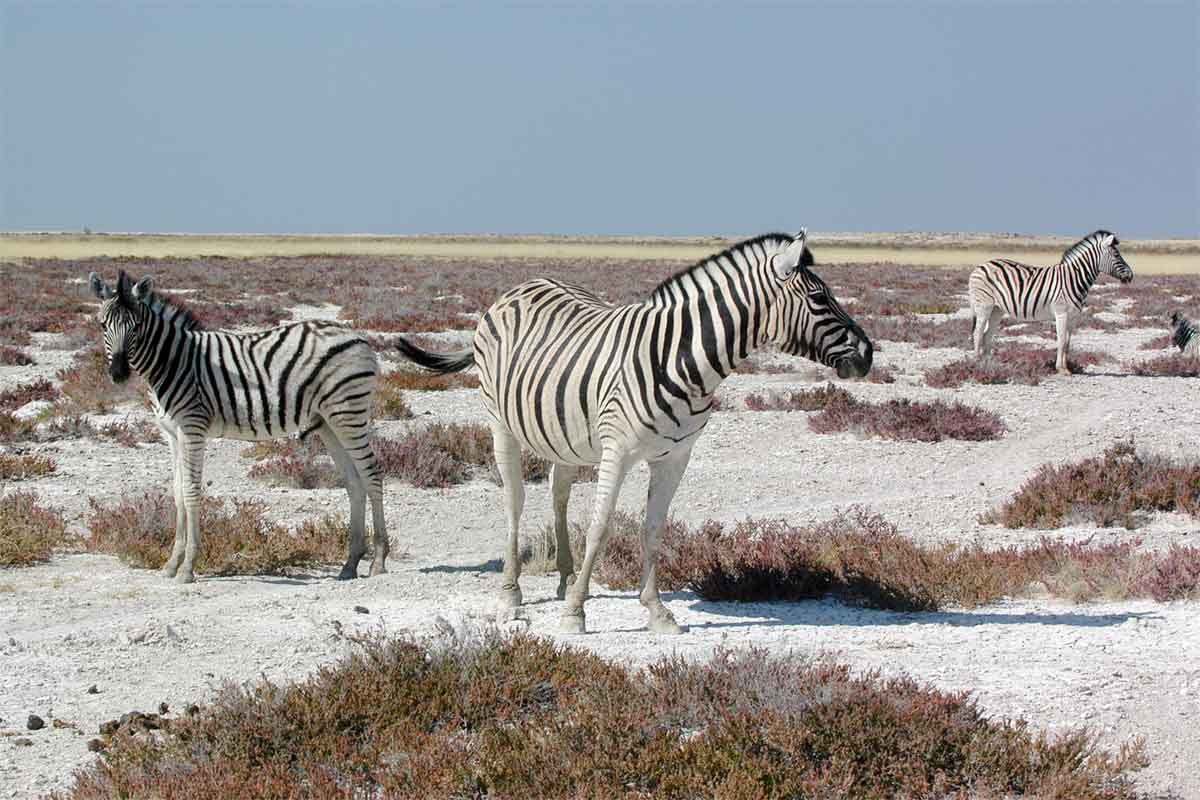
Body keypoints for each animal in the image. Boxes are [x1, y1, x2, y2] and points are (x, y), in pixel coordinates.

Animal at [89, 272, 388, 585]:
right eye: (102, 325)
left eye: (136, 327)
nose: (119, 374)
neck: (173, 362)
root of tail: (358, 336)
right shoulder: (171, 433)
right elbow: (177, 491)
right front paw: (171, 564)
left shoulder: (192, 427)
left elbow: (191, 492)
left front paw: (187, 567)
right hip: (330, 421)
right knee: (354, 482)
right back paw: (350, 564)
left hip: (348, 413)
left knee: (372, 474)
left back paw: (378, 561)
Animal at [393, 231, 873, 638]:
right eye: (819, 298)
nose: (868, 354)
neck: (685, 362)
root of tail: (518, 287)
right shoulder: (618, 450)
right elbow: (601, 527)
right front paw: (575, 614)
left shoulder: (676, 456)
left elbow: (654, 529)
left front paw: (656, 611)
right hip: (500, 422)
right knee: (515, 500)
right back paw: (512, 593)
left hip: (562, 435)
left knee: (557, 493)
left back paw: (567, 578)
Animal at [964, 227, 1132, 371]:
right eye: (1117, 255)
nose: (1131, 276)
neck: (1073, 278)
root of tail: (979, 267)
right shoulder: (1061, 313)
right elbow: (1061, 340)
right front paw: (1060, 369)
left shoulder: (1073, 316)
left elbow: (1068, 343)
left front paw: (1067, 368)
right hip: (983, 306)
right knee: (977, 333)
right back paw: (977, 363)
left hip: (997, 309)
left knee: (987, 335)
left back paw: (989, 364)